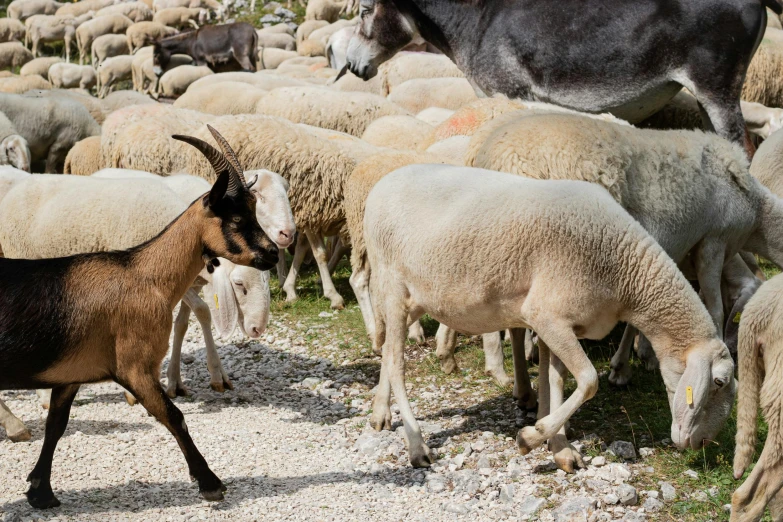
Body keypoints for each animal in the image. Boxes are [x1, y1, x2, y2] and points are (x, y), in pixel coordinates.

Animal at [0, 124, 278, 506]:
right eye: (236, 218)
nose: (273, 253)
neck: (143, 275)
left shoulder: (70, 374)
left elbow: (56, 426)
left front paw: (40, 491)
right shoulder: (136, 366)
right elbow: (174, 417)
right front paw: (210, 482)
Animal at [364, 165, 740, 470]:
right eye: (719, 382)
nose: (703, 444)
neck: (624, 271)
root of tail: (380, 185)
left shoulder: (560, 323)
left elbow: (554, 380)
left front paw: (559, 447)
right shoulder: (545, 314)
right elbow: (588, 380)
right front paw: (532, 436)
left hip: (415, 296)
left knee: (387, 351)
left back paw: (380, 413)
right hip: (392, 284)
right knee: (396, 363)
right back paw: (417, 447)